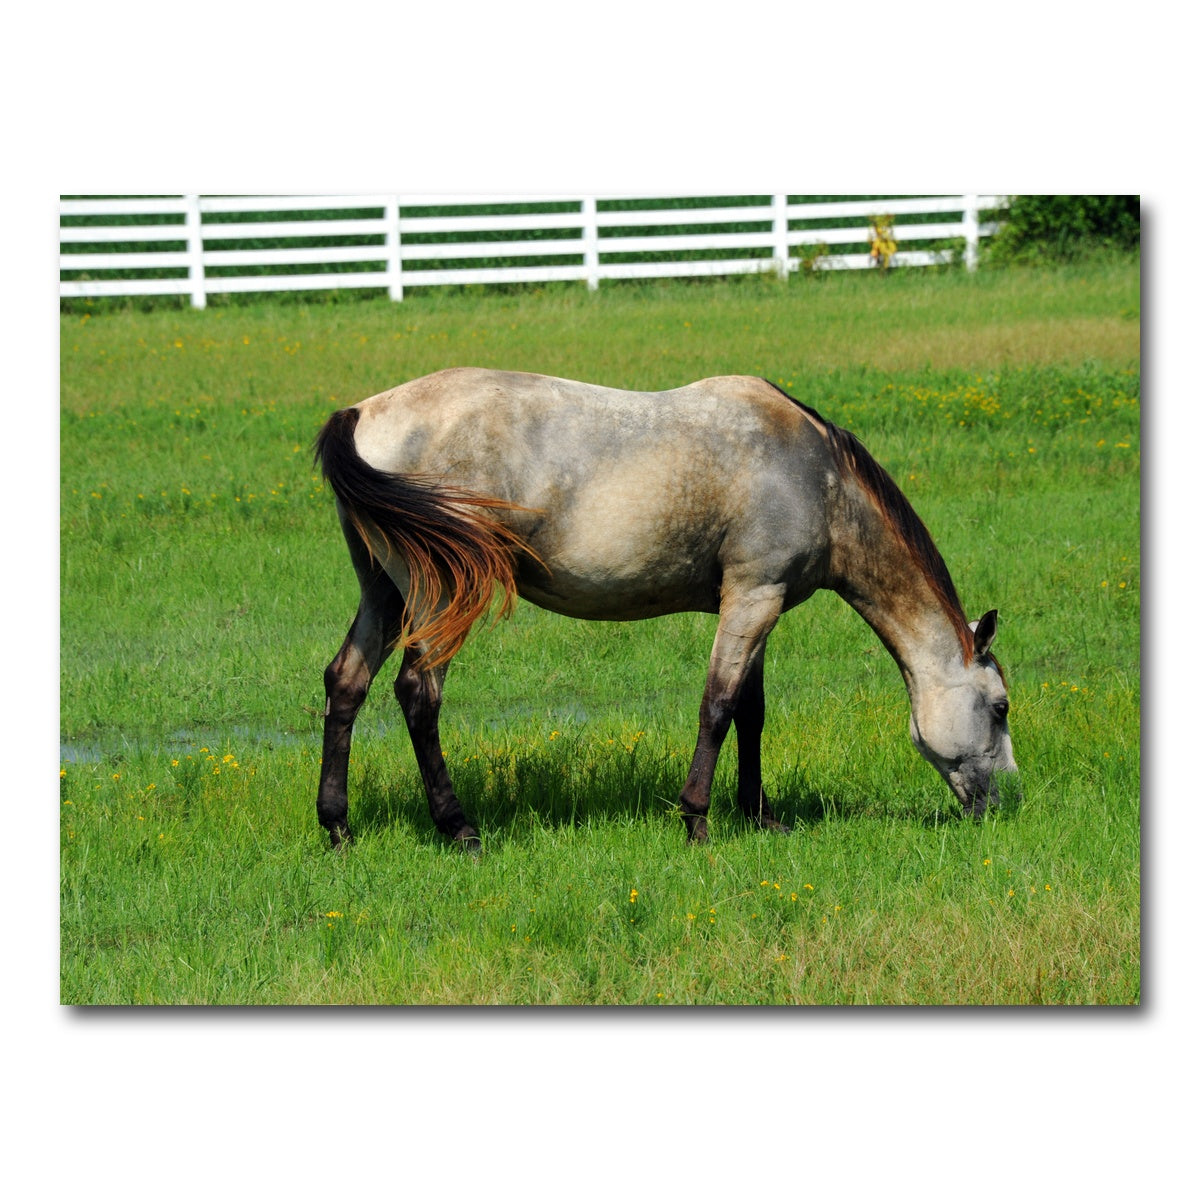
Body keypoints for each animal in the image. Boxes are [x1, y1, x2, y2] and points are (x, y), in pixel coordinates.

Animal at [313, 367, 1018, 849]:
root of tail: (362, 413)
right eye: (1001, 707)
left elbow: (751, 714)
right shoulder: (754, 597)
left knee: (346, 683)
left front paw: (759, 815)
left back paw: (337, 827)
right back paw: (458, 827)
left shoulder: (756, 603)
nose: (1006, 800)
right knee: (418, 693)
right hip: (439, 598)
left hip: (384, 592)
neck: (820, 479)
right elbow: (718, 707)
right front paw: (697, 820)